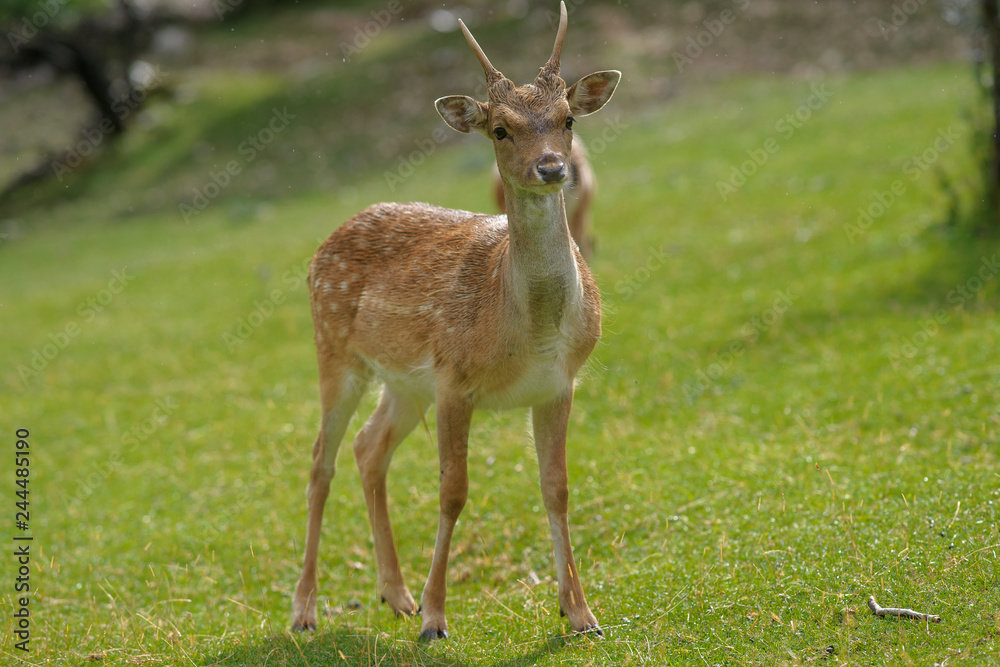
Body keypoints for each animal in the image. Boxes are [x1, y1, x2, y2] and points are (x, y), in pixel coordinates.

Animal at [290, 2, 616, 644]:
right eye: (500, 129)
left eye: (567, 118)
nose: (552, 168)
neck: (528, 329)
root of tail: (321, 249)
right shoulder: (454, 380)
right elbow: (452, 491)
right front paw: (437, 617)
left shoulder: (559, 385)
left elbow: (557, 488)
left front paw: (580, 614)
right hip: (334, 350)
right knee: (320, 460)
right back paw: (306, 610)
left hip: (404, 382)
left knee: (368, 448)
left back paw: (394, 595)